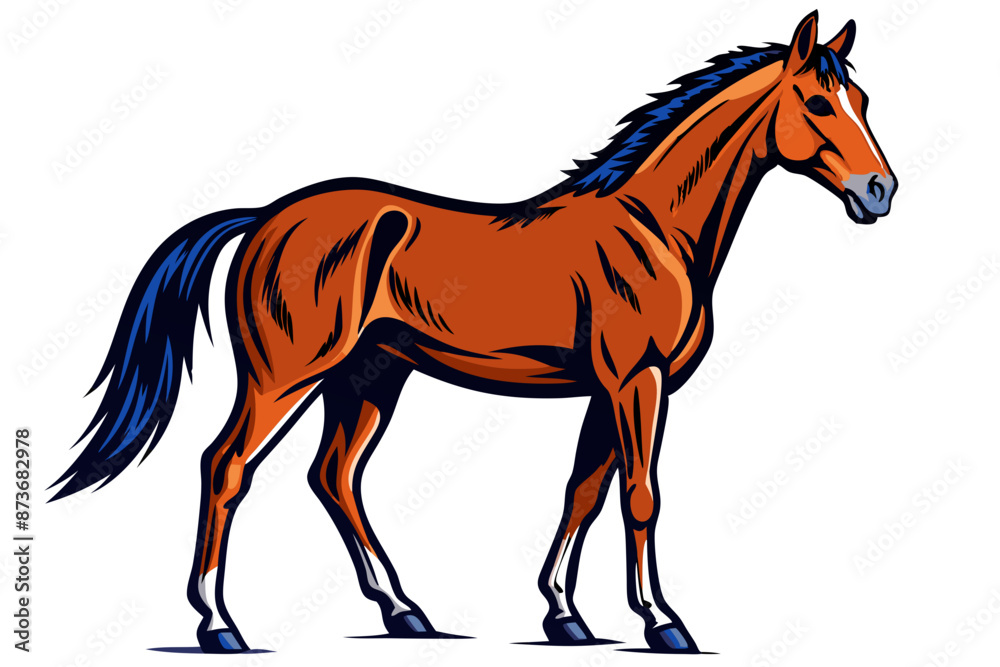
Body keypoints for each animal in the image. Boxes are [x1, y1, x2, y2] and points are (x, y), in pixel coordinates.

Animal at [51, 11, 896, 653]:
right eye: (818, 104)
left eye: (860, 97)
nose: (879, 190)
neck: (653, 228)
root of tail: (265, 217)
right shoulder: (638, 381)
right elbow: (640, 494)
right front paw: (663, 621)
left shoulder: (606, 390)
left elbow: (583, 490)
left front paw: (565, 614)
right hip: (285, 376)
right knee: (226, 466)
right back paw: (219, 624)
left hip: (368, 377)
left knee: (333, 475)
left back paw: (404, 611)